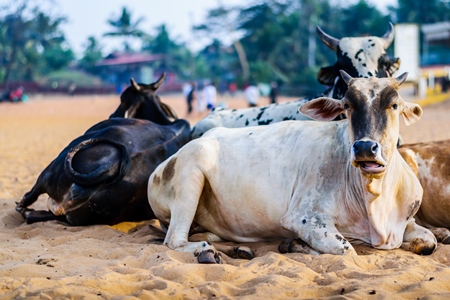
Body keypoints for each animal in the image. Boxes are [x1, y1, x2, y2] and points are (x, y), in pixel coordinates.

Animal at [15, 75, 191, 225]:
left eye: (123, 99)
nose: (112, 115)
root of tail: (109, 167)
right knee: (34, 215)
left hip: (48, 173)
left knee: (28, 200)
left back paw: (22, 206)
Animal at [149, 70, 438, 262]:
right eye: (346, 105)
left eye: (394, 104)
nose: (365, 148)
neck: (375, 199)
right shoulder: (303, 218)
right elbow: (347, 250)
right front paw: (294, 245)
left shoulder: (407, 222)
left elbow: (430, 241)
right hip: (191, 173)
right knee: (174, 241)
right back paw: (206, 252)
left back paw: (236, 250)